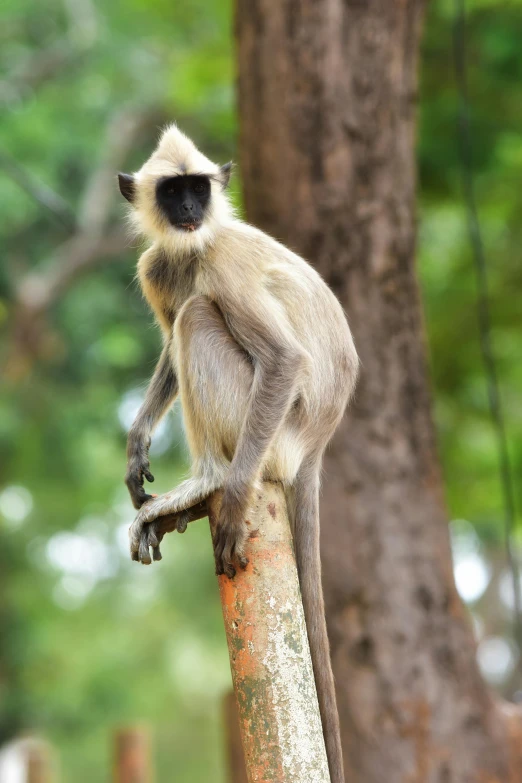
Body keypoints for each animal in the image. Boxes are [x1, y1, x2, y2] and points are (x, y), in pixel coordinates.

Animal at [117, 124, 358, 783]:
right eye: (172, 192)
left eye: (198, 188)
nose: (190, 210)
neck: (194, 246)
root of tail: (316, 442)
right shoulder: (158, 264)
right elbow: (167, 349)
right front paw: (136, 442)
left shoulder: (219, 259)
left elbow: (283, 358)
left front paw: (227, 505)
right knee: (187, 319)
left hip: (269, 430)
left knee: (200, 315)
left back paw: (212, 483)